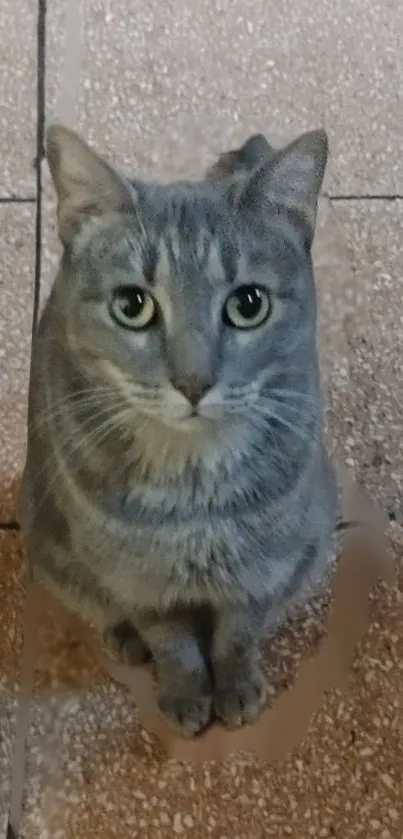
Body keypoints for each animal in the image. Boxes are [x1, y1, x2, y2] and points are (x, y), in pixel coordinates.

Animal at [20, 123, 340, 736]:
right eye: (132, 306)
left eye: (248, 304)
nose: (193, 383)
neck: (195, 489)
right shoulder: (136, 579)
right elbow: (173, 646)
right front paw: (187, 694)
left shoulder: (263, 565)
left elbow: (237, 635)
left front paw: (235, 687)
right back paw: (124, 640)